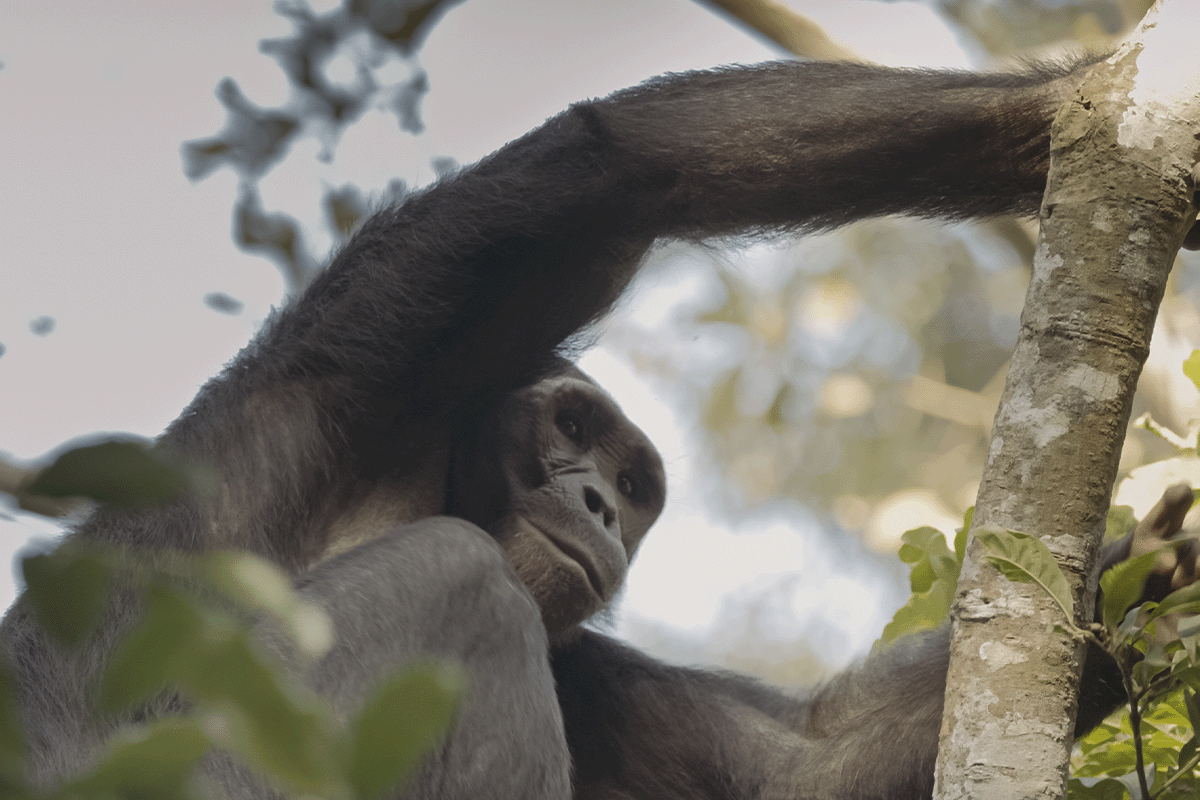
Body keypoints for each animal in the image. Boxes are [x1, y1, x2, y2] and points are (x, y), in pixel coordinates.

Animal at [2, 56, 1200, 800]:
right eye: (569, 426)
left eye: (633, 486)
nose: (592, 501)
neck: (432, 466)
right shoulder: (387, 343)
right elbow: (618, 162)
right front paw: (1072, 100)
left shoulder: (588, 666)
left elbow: (799, 766)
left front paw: (1147, 580)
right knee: (455, 578)